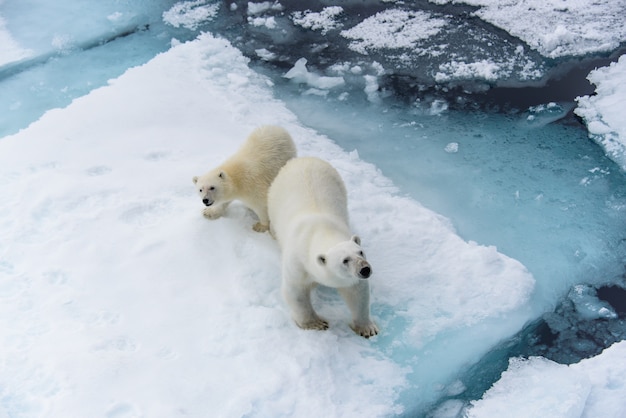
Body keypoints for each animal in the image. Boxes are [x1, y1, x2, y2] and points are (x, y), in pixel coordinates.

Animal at [266, 155, 378, 338]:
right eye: (345, 260)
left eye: (361, 252)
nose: (365, 269)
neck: (322, 230)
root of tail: (304, 159)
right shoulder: (297, 262)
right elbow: (295, 290)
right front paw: (316, 323)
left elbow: (357, 292)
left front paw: (367, 328)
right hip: (274, 197)